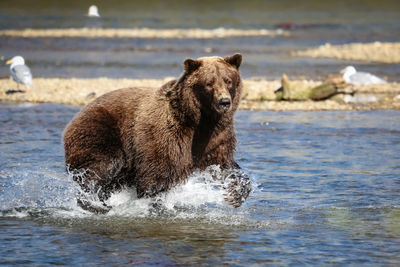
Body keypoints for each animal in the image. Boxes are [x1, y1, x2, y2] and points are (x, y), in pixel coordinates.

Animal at [62, 54, 250, 214]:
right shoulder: (166, 134)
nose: (224, 102)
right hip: (100, 130)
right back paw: (95, 204)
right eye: (209, 83)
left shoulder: (214, 137)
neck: (198, 119)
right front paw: (157, 204)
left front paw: (235, 194)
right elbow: (157, 173)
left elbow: (222, 165)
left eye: (228, 81)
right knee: (101, 167)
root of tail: (76, 116)